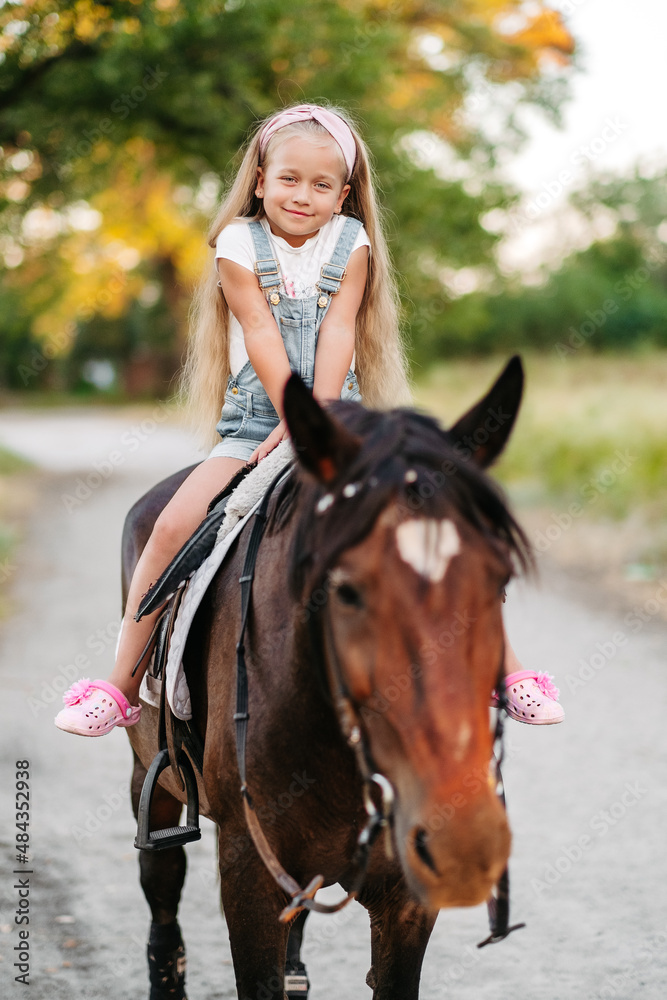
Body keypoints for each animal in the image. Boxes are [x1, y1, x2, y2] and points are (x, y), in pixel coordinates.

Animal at [123, 356, 531, 1000]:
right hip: (153, 777)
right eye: (346, 590)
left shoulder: (405, 897)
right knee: (161, 882)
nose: (465, 842)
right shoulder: (247, 876)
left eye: (500, 580)